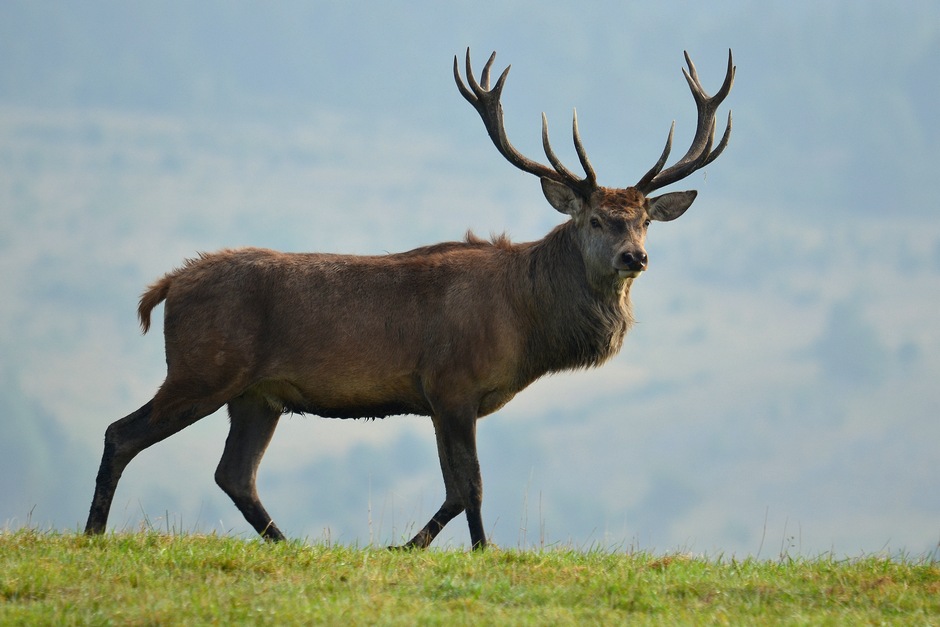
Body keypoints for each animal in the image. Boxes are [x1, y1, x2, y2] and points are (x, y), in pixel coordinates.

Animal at [86, 49, 736, 548]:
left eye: (645, 221)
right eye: (597, 219)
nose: (635, 258)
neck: (525, 325)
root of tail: (167, 286)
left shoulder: (441, 397)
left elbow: (455, 488)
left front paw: (412, 546)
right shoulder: (452, 383)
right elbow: (470, 485)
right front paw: (474, 550)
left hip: (256, 396)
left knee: (234, 475)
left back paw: (288, 544)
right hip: (202, 369)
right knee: (122, 433)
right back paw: (93, 533)